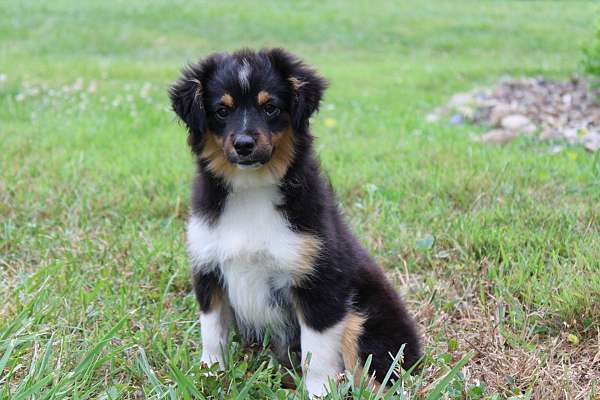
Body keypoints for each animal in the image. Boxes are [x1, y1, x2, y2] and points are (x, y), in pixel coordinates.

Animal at [170, 48, 422, 396]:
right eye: (221, 111)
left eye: (271, 107)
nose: (244, 144)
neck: (252, 190)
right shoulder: (208, 270)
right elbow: (212, 334)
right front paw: (209, 377)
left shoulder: (319, 283)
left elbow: (315, 354)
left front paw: (318, 393)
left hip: (364, 319)